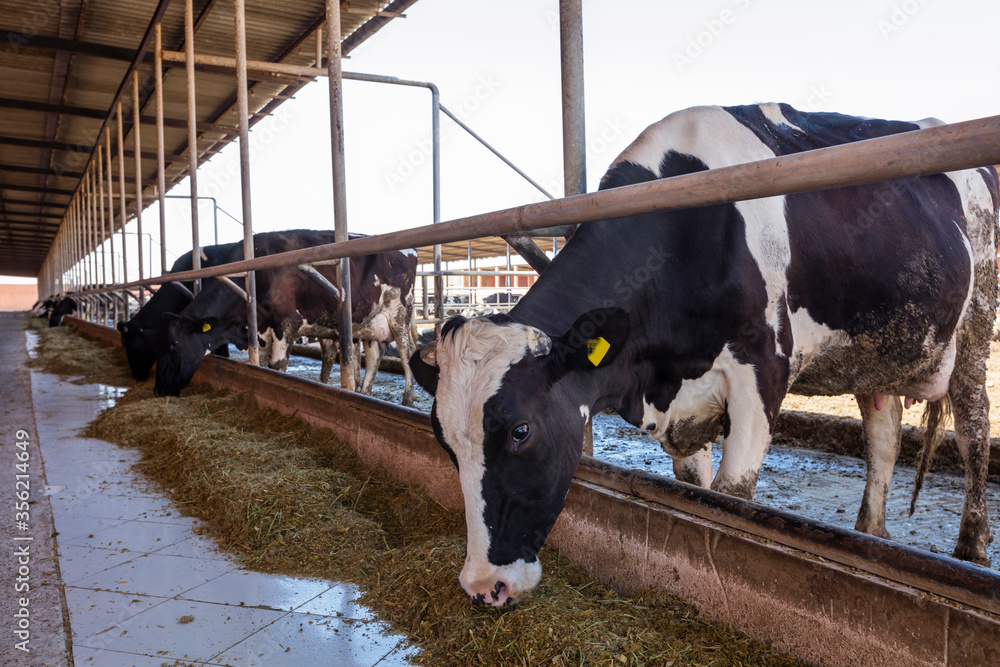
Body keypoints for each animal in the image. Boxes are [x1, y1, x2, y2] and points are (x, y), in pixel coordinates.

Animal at [154, 230, 420, 408]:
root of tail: (410, 250)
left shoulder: (286, 323)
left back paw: (407, 400)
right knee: (375, 354)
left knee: (407, 351)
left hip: (400, 312)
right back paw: (364, 393)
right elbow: (261, 363)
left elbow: (277, 366)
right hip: (368, 322)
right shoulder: (260, 330)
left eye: (173, 344)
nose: (158, 389)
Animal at [408, 103, 1000, 604]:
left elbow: (732, 497)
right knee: (883, 435)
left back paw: (970, 549)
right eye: (443, 439)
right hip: (875, 352)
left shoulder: (763, 373)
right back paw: (870, 531)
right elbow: (696, 488)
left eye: (520, 431)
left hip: (977, 323)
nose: (483, 586)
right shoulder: (678, 400)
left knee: (973, 429)